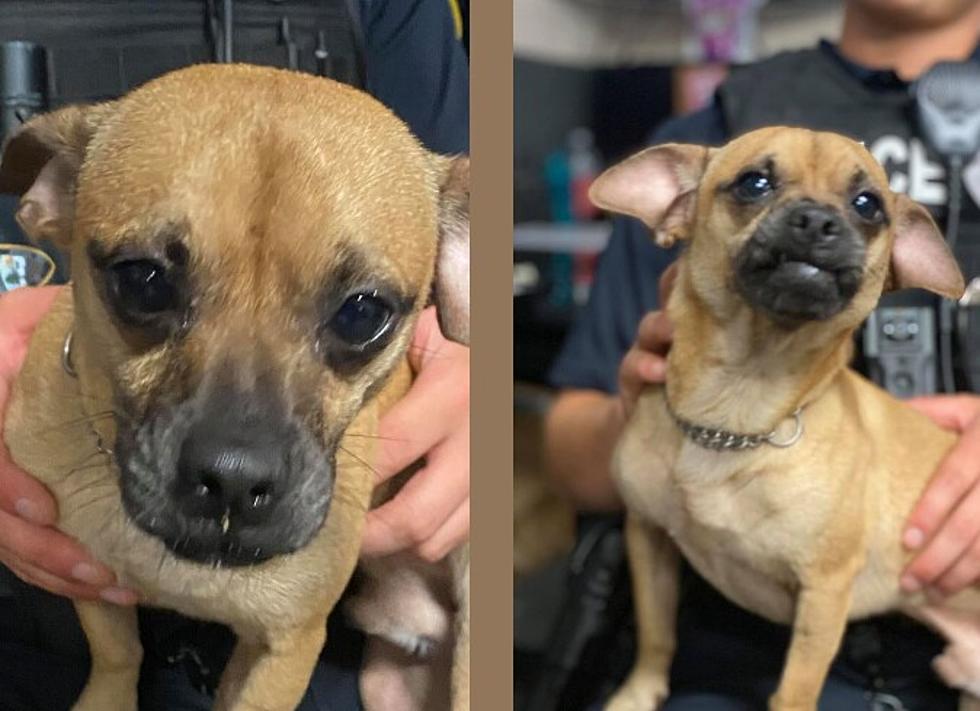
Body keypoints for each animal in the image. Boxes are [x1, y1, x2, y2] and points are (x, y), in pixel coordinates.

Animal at [0, 65, 470, 711]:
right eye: (142, 279)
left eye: (363, 313)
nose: (234, 480)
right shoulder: (93, 588)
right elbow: (118, 654)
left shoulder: (282, 652)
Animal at [584, 128, 980, 711]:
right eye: (754, 183)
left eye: (868, 205)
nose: (817, 221)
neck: (736, 411)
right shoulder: (647, 539)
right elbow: (657, 636)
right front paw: (637, 694)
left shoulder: (824, 595)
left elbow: (795, 686)